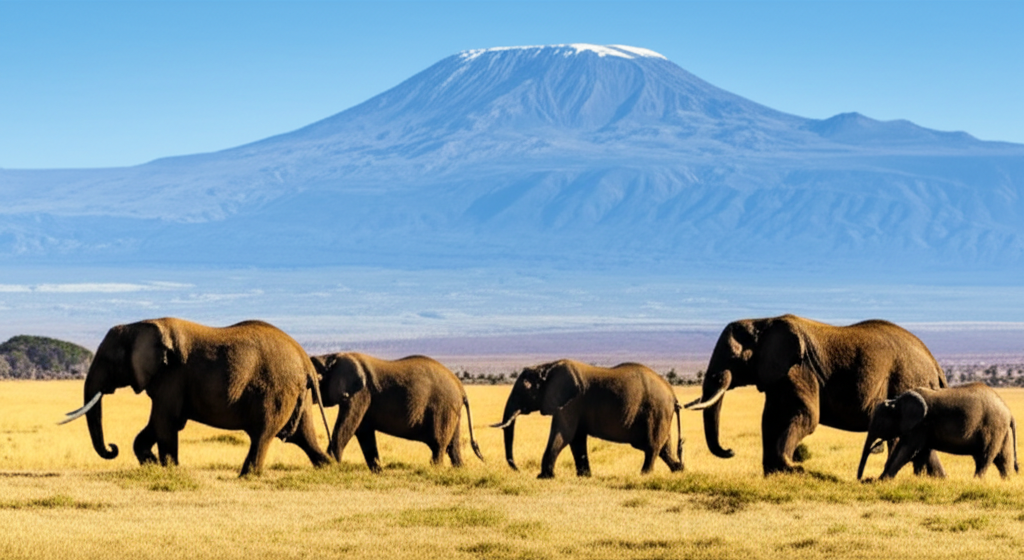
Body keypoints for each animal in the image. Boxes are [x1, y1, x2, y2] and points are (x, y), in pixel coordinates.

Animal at [60, 318, 332, 476]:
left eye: (108, 360)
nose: (111, 447)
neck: (138, 325)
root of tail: (305, 358)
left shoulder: (172, 375)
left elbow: (164, 423)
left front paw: (170, 470)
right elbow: (156, 426)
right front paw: (152, 464)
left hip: (277, 390)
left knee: (263, 434)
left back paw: (246, 476)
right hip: (296, 394)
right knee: (303, 436)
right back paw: (330, 468)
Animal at [309, 352, 484, 472]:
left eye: (317, 380)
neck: (330, 356)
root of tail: (461, 388)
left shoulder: (359, 395)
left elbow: (348, 426)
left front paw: (331, 465)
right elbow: (364, 433)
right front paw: (378, 471)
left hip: (443, 409)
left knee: (439, 446)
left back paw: (436, 471)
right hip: (452, 412)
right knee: (453, 447)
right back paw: (459, 470)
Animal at [492, 359, 684, 478]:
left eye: (523, 389)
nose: (517, 470)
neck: (546, 366)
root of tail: (673, 394)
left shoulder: (570, 402)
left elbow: (563, 434)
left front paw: (544, 477)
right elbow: (576, 439)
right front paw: (584, 476)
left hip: (656, 411)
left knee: (651, 447)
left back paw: (644, 475)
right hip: (660, 414)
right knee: (664, 448)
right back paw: (679, 470)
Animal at [685, 314, 949, 475]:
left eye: (732, 357)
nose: (730, 451)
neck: (763, 322)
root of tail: (935, 364)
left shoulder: (800, 369)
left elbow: (807, 417)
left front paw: (793, 468)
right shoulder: (778, 377)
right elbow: (769, 420)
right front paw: (774, 473)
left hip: (907, 380)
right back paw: (933, 480)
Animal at [857, 383, 1019, 480]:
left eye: (879, 424)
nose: (861, 479)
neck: (896, 402)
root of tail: (1008, 412)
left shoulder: (920, 425)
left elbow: (908, 450)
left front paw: (882, 480)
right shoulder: (918, 428)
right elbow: (921, 451)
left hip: (992, 428)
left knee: (984, 458)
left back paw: (976, 481)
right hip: (1001, 431)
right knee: (1003, 459)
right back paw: (1007, 481)